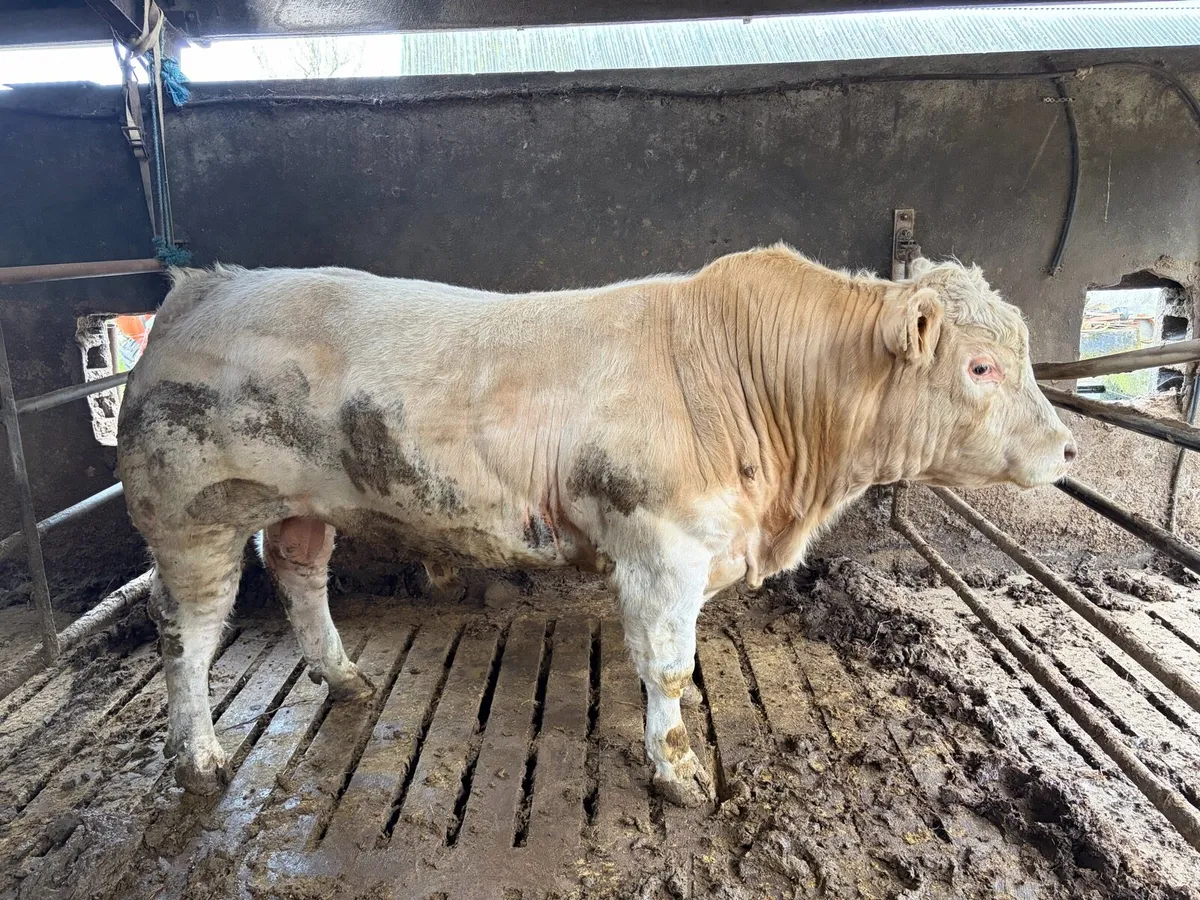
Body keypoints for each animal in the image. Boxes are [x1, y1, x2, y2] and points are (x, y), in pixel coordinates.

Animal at [116, 245, 1076, 803]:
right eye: (981, 366)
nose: (1068, 448)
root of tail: (205, 287)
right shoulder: (662, 546)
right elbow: (669, 665)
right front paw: (678, 769)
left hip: (304, 504)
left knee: (299, 570)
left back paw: (344, 675)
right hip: (191, 514)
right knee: (188, 631)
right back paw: (198, 756)